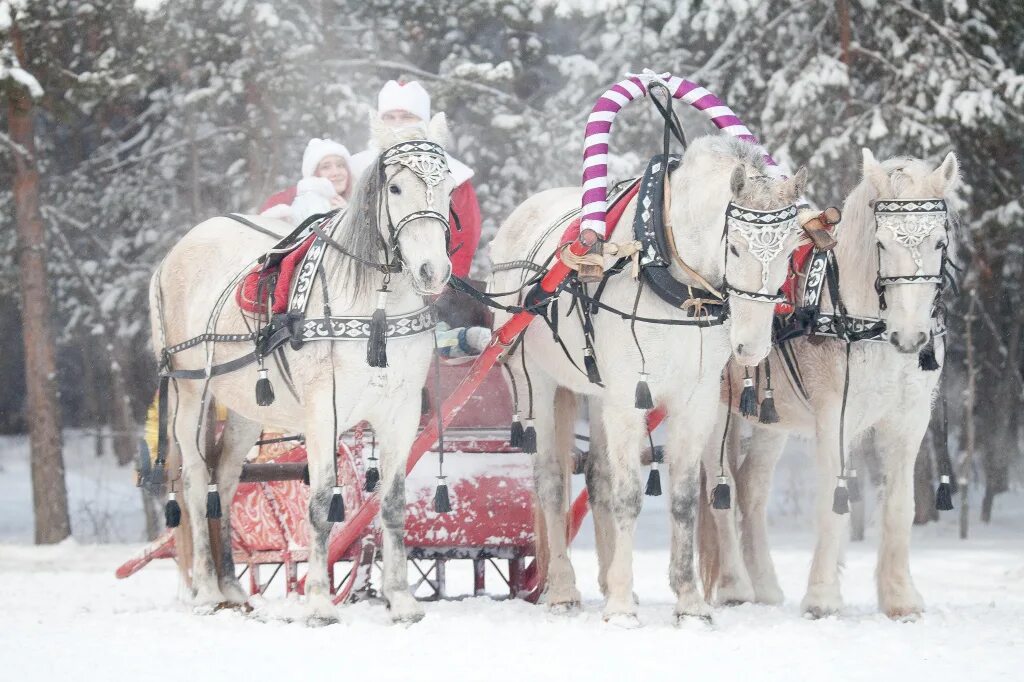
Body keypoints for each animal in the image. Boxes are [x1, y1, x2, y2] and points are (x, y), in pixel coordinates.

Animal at [151, 116, 456, 622]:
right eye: (394, 187)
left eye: (448, 187)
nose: (434, 270)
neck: (375, 305)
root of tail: (174, 253)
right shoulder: (321, 410)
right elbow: (319, 502)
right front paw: (317, 601)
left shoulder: (401, 410)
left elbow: (392, 503)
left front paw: (400, 598)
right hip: (190, 394)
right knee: (195, 480)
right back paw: (208, 590)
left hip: (245, 409)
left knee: (225, 479)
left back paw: (232, 586)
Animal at [487, 134, 806, 622]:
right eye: (735, 248)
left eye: (790, 250)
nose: (751, 347)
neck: (669, 272)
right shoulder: (627, 397)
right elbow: (628, 496)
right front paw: (620, 608)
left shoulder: (694, 401)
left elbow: (683, 498)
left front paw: (689, 603)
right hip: (535, 382)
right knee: (551, 482)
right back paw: (563, 589)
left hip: (596, 394)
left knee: (596, 475)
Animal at [700, 147, 954, 614]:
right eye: (881, 242)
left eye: (939, 243)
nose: (910, 338)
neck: (867, 323)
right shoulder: (833, 415)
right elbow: (831, 505)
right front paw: (822, 596)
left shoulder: (910, 420)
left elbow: (900, 505)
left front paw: (900, 597)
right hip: (713, 410)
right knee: (719, 487)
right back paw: (735, 586)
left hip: (772, 419)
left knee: (751, 487)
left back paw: (765, 586)